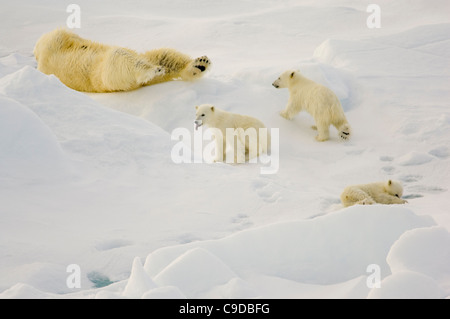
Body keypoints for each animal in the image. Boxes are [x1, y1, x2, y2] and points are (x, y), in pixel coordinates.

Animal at [34, 28, 212, 92]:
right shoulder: (52, 46)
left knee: (163, 56)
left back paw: (199, 64)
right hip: (104, 74)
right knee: (121, 57)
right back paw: (154, 70)